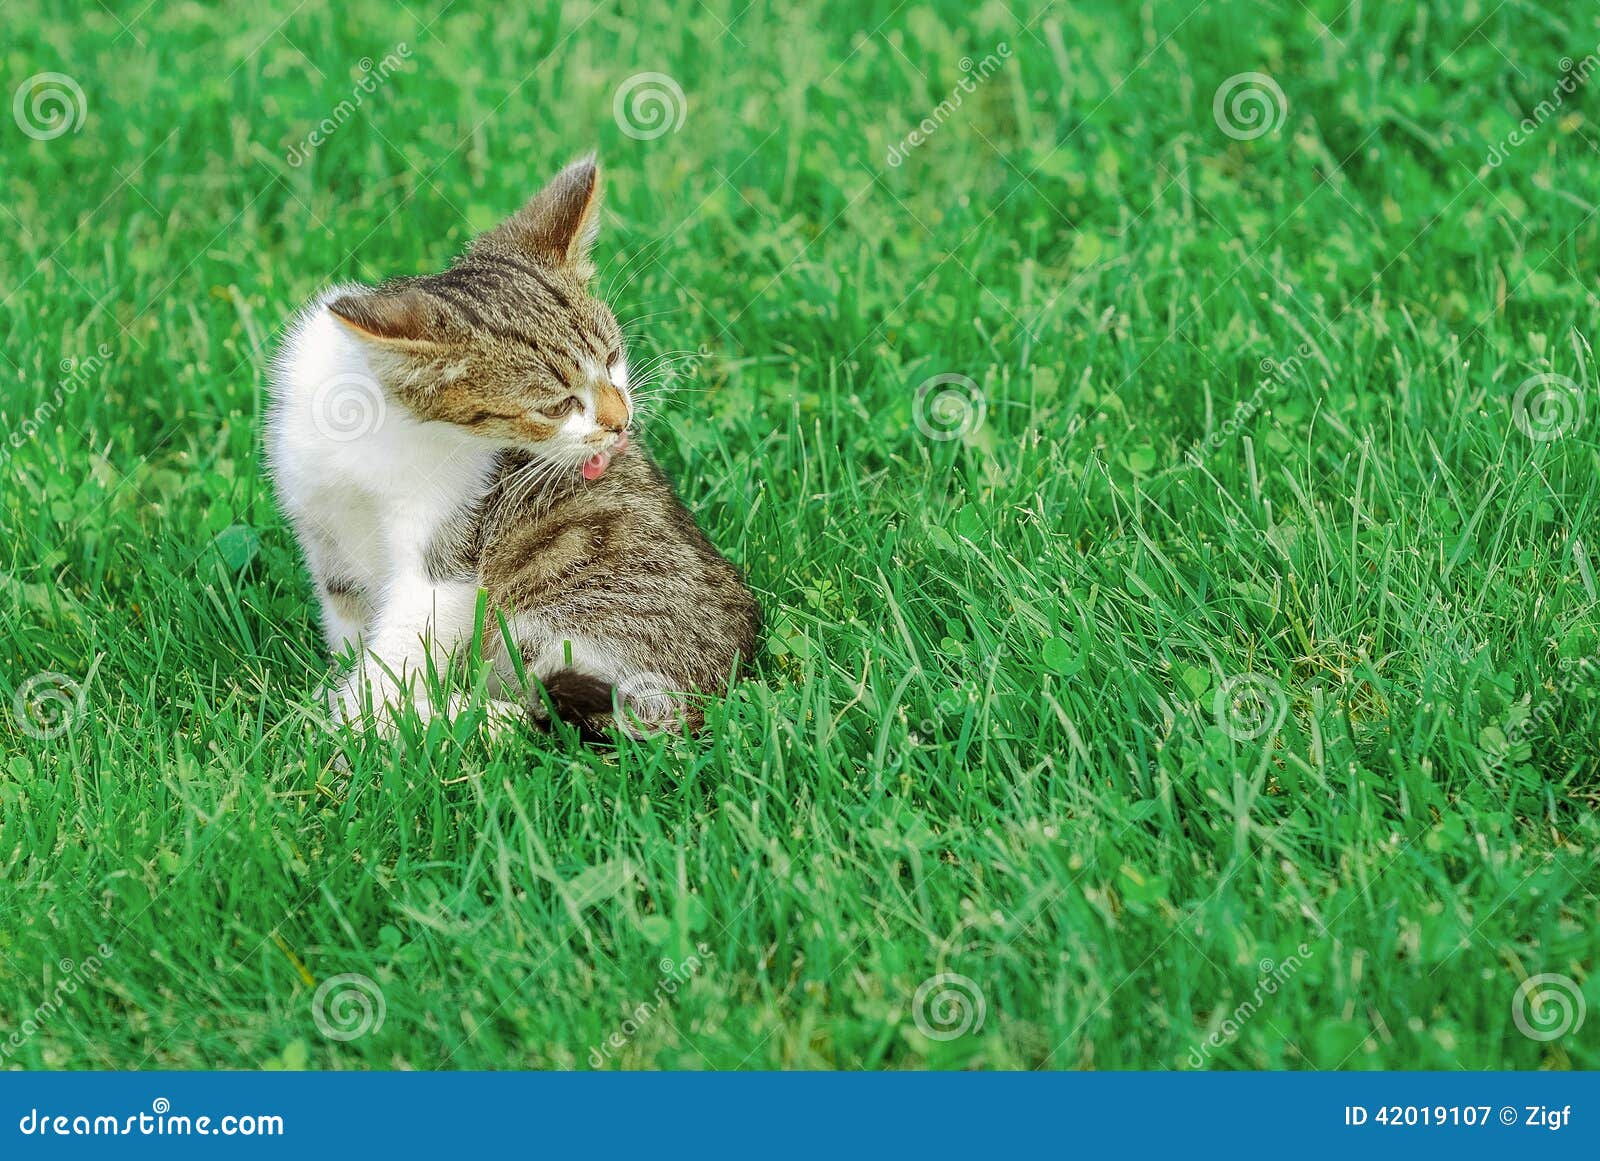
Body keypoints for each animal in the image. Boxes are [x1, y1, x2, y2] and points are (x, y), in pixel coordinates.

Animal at [265, 154, 758, 742]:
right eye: (557, 406)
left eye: (612, 358)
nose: (621, 423)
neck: (379, 432)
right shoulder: (322, 521)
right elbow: (349, 617)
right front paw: (339, 692)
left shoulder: (449, 545)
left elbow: (403, 646)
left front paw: (354, 723)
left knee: (535, 713)